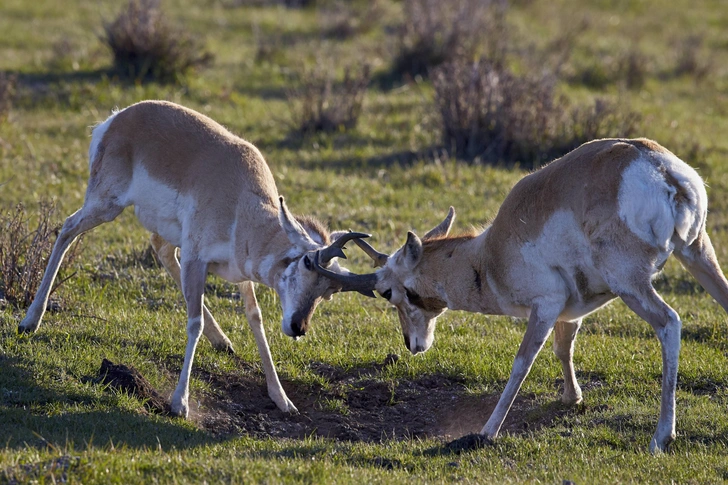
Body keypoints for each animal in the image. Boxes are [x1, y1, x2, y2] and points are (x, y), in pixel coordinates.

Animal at [19, 100, 372, 418]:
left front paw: (282, 399)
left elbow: (255, 319)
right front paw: (180, 403)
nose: (299, 326)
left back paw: (223, 341)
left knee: (160, 250)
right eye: (305, 263)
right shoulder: (195, 258)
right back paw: (30, 321)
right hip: (106, 206)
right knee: (66, 229)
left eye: (328, 291)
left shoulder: (239, 274)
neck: (242, 202)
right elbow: (194, 322)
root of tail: (118, 118)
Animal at [318, 138, 728, 452]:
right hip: (698, 255)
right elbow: (563, 347)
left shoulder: (545, 307)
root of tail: (661, 169)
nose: (412, 344)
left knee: (669, 323)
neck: (488, 254)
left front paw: (487, 431)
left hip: (632, 285)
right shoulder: (569, 312)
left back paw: (661, 437)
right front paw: (572, 398)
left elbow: (521, 364)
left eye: (387, 292)